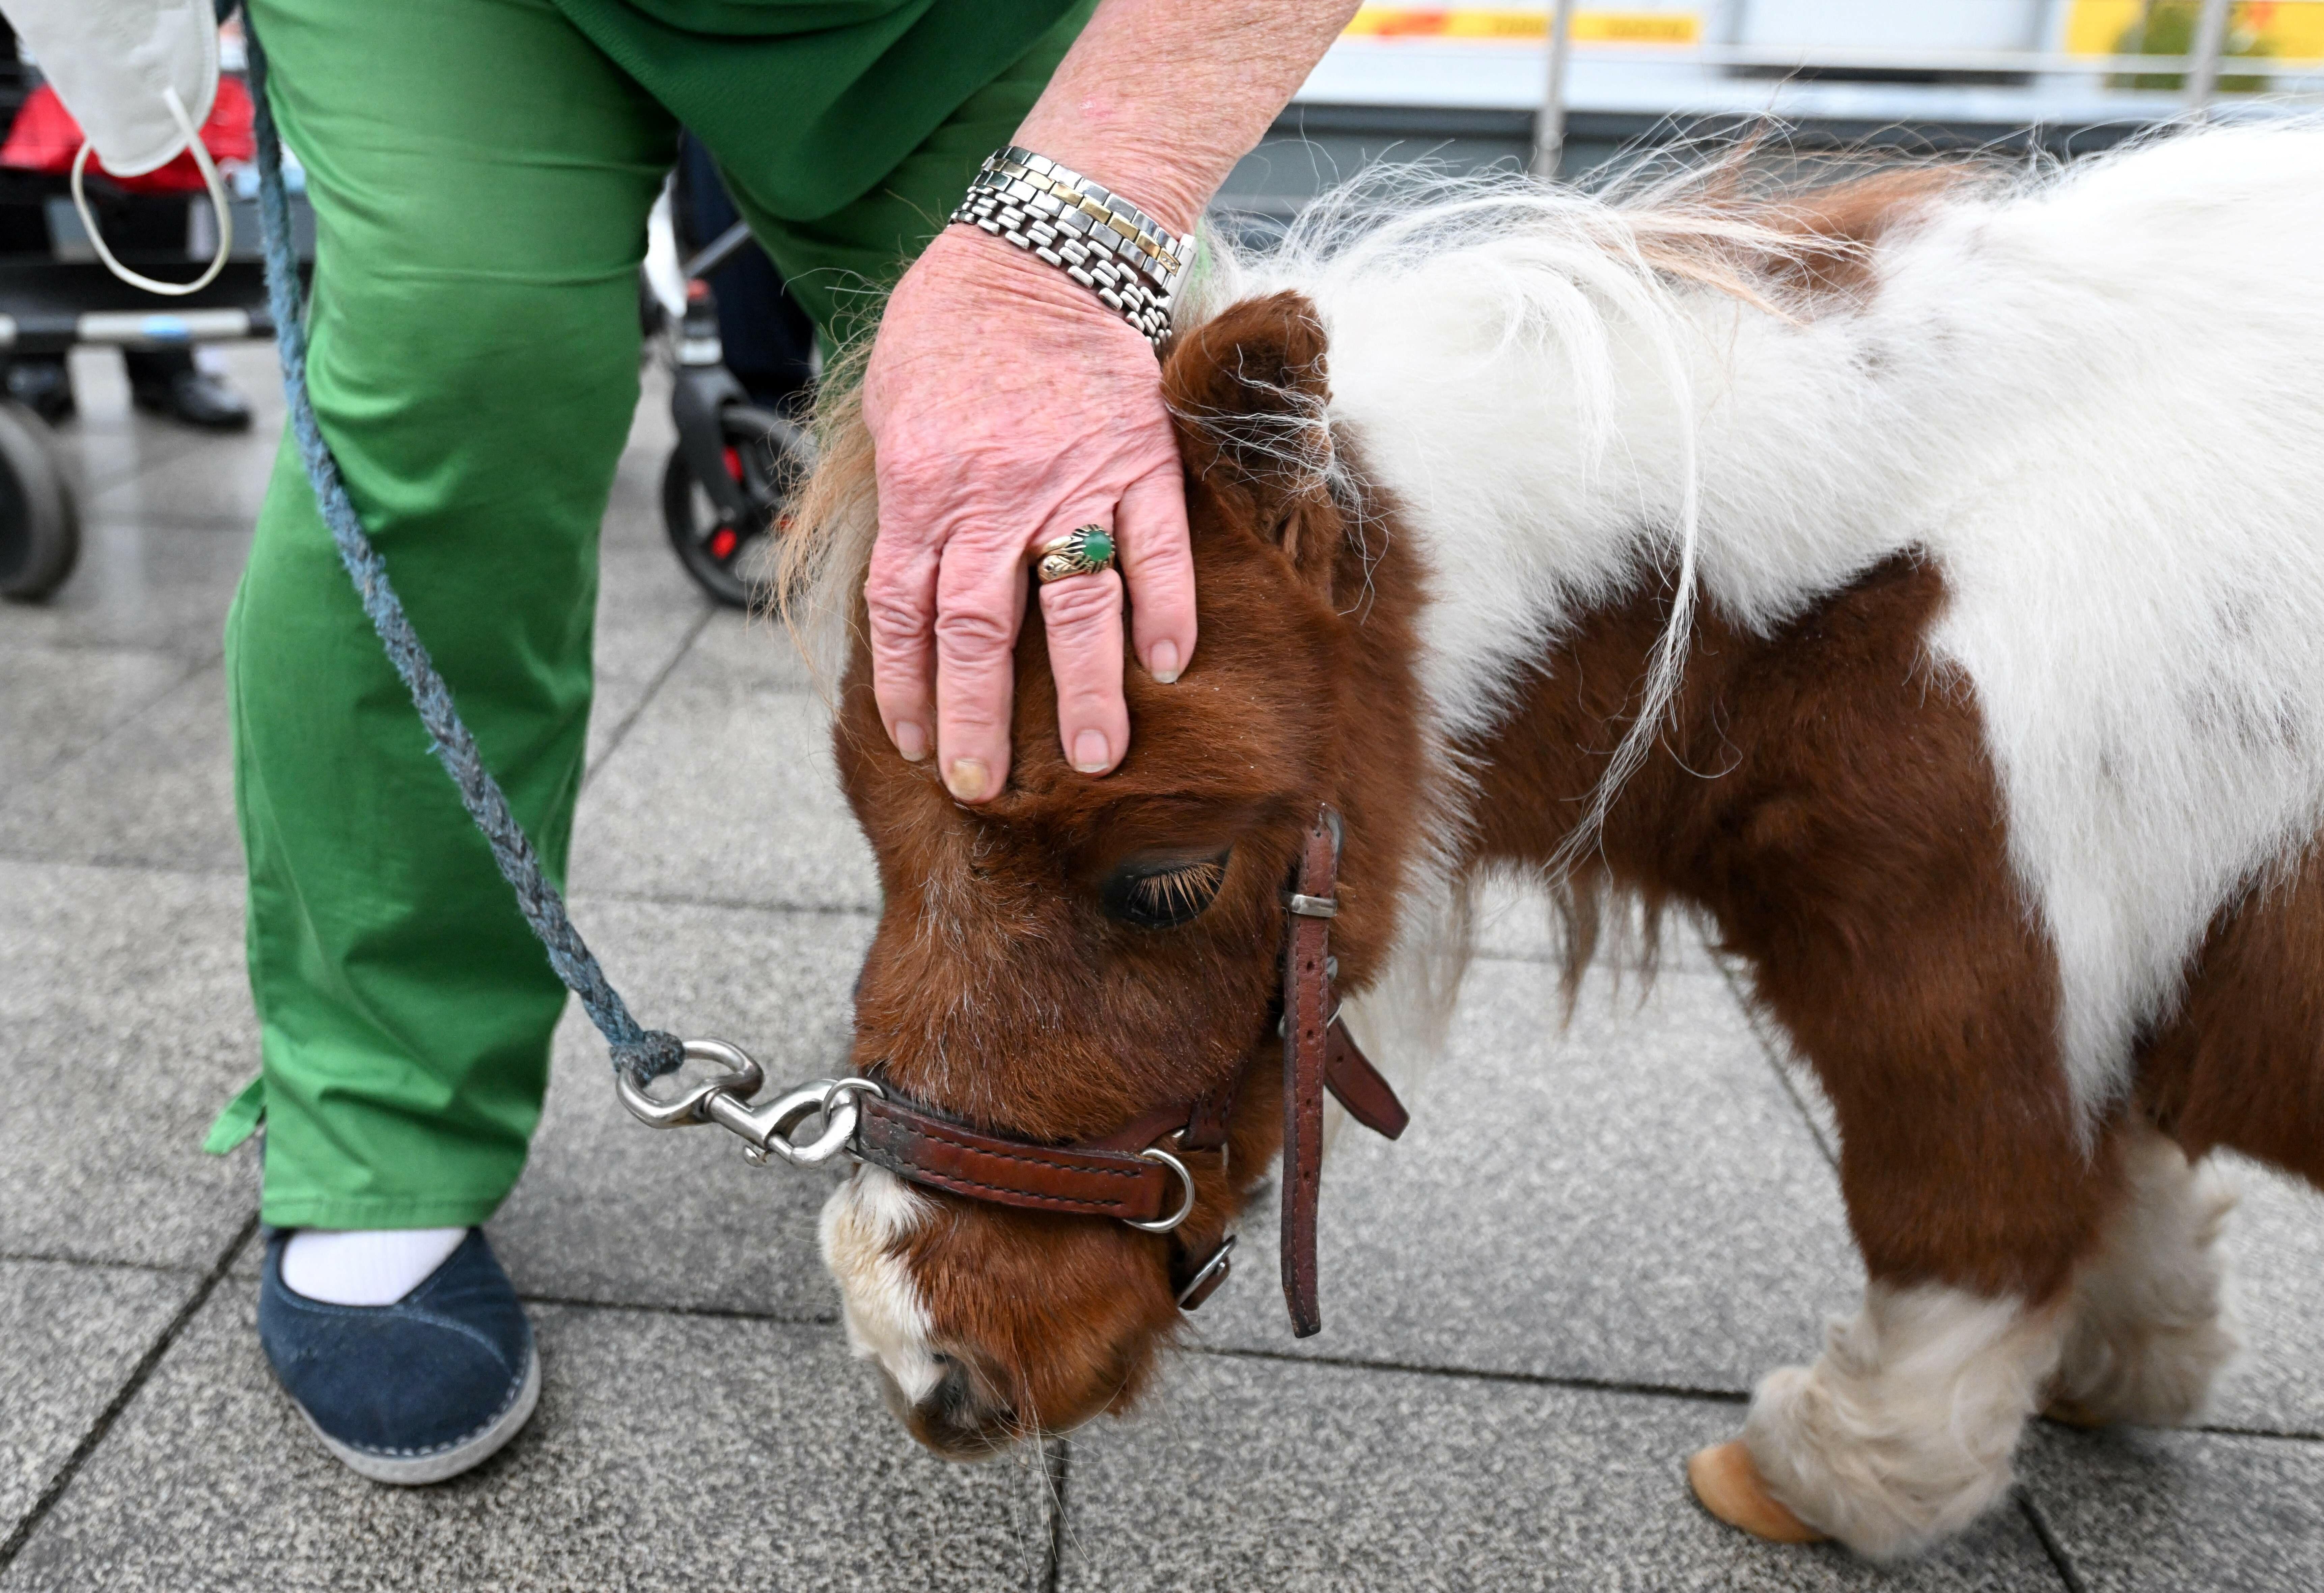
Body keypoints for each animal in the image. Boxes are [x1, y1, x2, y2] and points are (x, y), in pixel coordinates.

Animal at [781, 121, 2324, 1553]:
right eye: (868, 830)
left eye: (1167, 879)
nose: (922, 1362)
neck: (1908, 587)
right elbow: (2125, 1177)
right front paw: (2135, 1357)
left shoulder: (1965, 988)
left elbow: (1977, 1217)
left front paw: (1836, 1476)